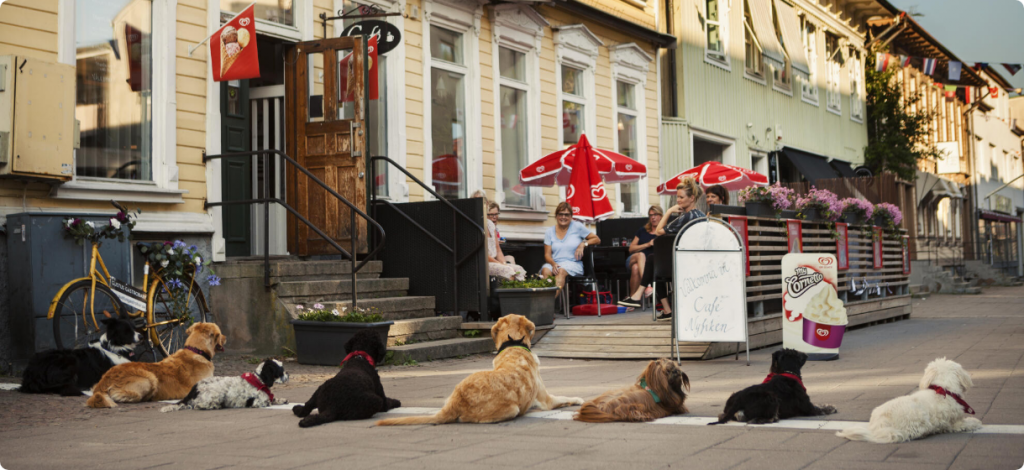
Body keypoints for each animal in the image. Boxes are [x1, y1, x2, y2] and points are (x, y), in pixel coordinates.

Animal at [160, 360, 288, 411]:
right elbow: (268, 401)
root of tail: (194, 388)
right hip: (217, 394)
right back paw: (214, 406)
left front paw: (282, 399)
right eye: (281, 371)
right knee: (198, 405)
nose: (288, 373)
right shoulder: (258, 402)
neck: (259, 380)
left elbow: (274, 398)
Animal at [839, 358, 983, 444]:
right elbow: (967, 423)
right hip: (917, 420)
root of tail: (878, 426)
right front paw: (975, 422)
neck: (943, 389)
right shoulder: (955, 423)